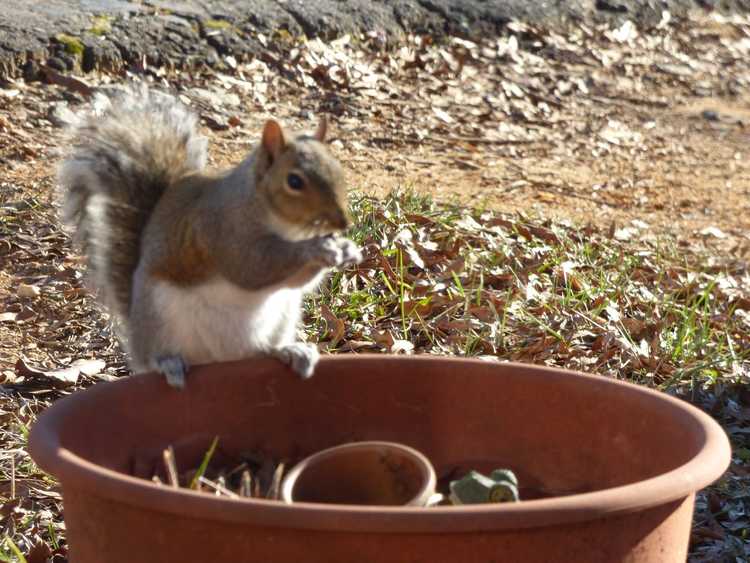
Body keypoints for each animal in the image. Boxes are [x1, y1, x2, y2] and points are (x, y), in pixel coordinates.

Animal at [58, 87, 364, 388]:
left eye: (338, 169)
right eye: (295, 181)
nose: (343, 222)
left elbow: (297, 280)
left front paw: (347, 249)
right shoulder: (221, 232)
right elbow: (253, 269)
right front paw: (316, 249)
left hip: (283, 314)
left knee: (259, 350)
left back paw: (289, 351)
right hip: (160, 317)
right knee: (154, 358)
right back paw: (168, 363)